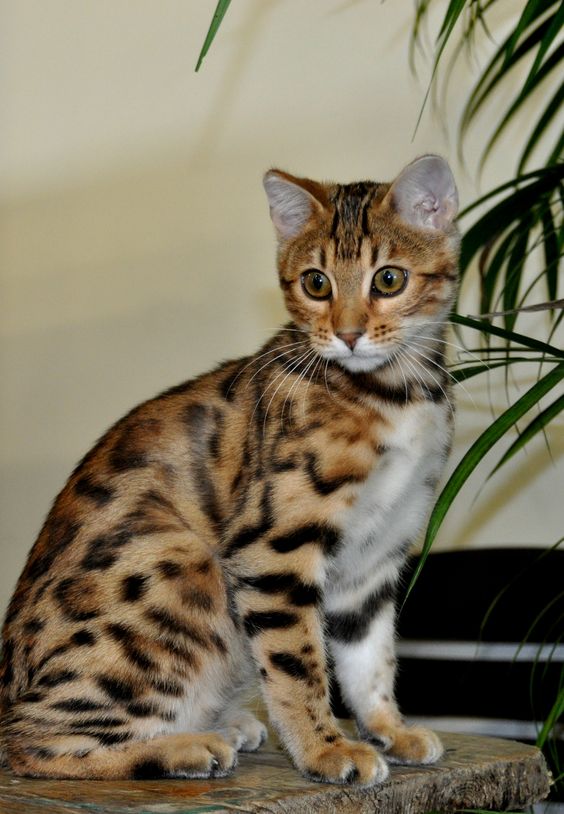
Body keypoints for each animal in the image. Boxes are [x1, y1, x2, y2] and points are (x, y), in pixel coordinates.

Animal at [1, 156, 458, 788]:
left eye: (389, 279)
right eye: (316, 283)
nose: (348, 334)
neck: (393, 393)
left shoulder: (378, 553)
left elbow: (370, 659)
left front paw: (390, 729)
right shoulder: (273, 546)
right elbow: (297, 665)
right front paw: (325, 751)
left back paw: (223, 724)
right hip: (180, 560)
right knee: (28, 742)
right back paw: (186, 746)